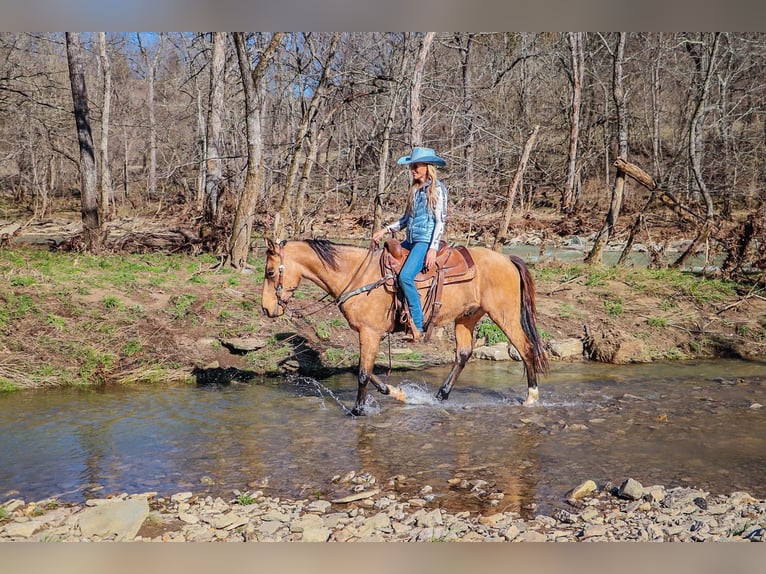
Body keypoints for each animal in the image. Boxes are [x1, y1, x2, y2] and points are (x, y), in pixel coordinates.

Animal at [260, 238, 548, 418]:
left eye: (270, 272)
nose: (266, 309)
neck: (357, 276)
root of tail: (507, 259)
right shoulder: (369, 335)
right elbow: (365, 371)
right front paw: (398, 394)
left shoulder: (370, 333)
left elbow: (363, 373)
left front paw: (357, 411)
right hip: (467, 317)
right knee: (463, 354)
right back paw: (440, 396)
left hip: (504, 315)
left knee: (526, 348)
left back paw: (531, 397)